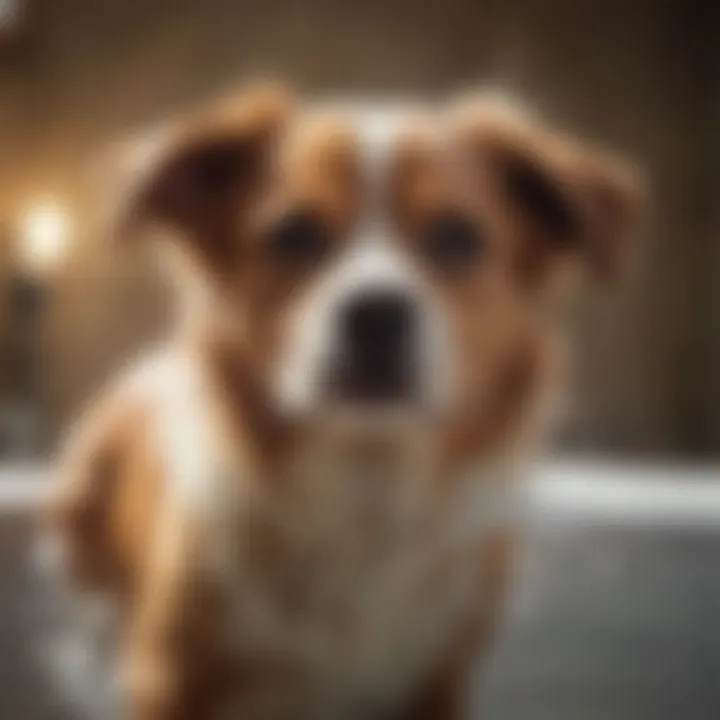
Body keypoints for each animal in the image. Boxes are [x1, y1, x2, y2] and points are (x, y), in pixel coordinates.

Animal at [42, 81, 640, 716]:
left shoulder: (435, 679)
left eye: (456, 237)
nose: (376, 314)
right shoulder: (172, 675)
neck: (364, 481)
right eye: (294, 233)